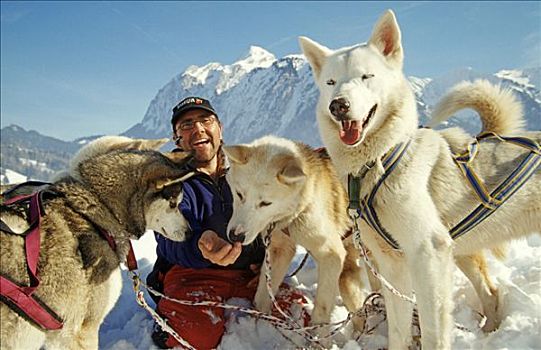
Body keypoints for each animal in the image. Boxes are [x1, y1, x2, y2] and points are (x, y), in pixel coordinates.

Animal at [224, 135, 368, 334]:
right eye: (239, 194)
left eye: (265, 203)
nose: (236, 236)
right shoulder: (279, 250)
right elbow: (262, 296)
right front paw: (258, 325)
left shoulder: (331, 255)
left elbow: (321, 309)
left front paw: (317, 337)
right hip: (349, 273)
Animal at [300, 9, 540, 350]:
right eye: (331, 82)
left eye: (366, 76)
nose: (338, 105)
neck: (379, 164)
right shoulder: (392, 264)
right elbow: (399, 330)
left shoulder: (429, 254)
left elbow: (432, 331)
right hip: (461, 251)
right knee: (491, 293)